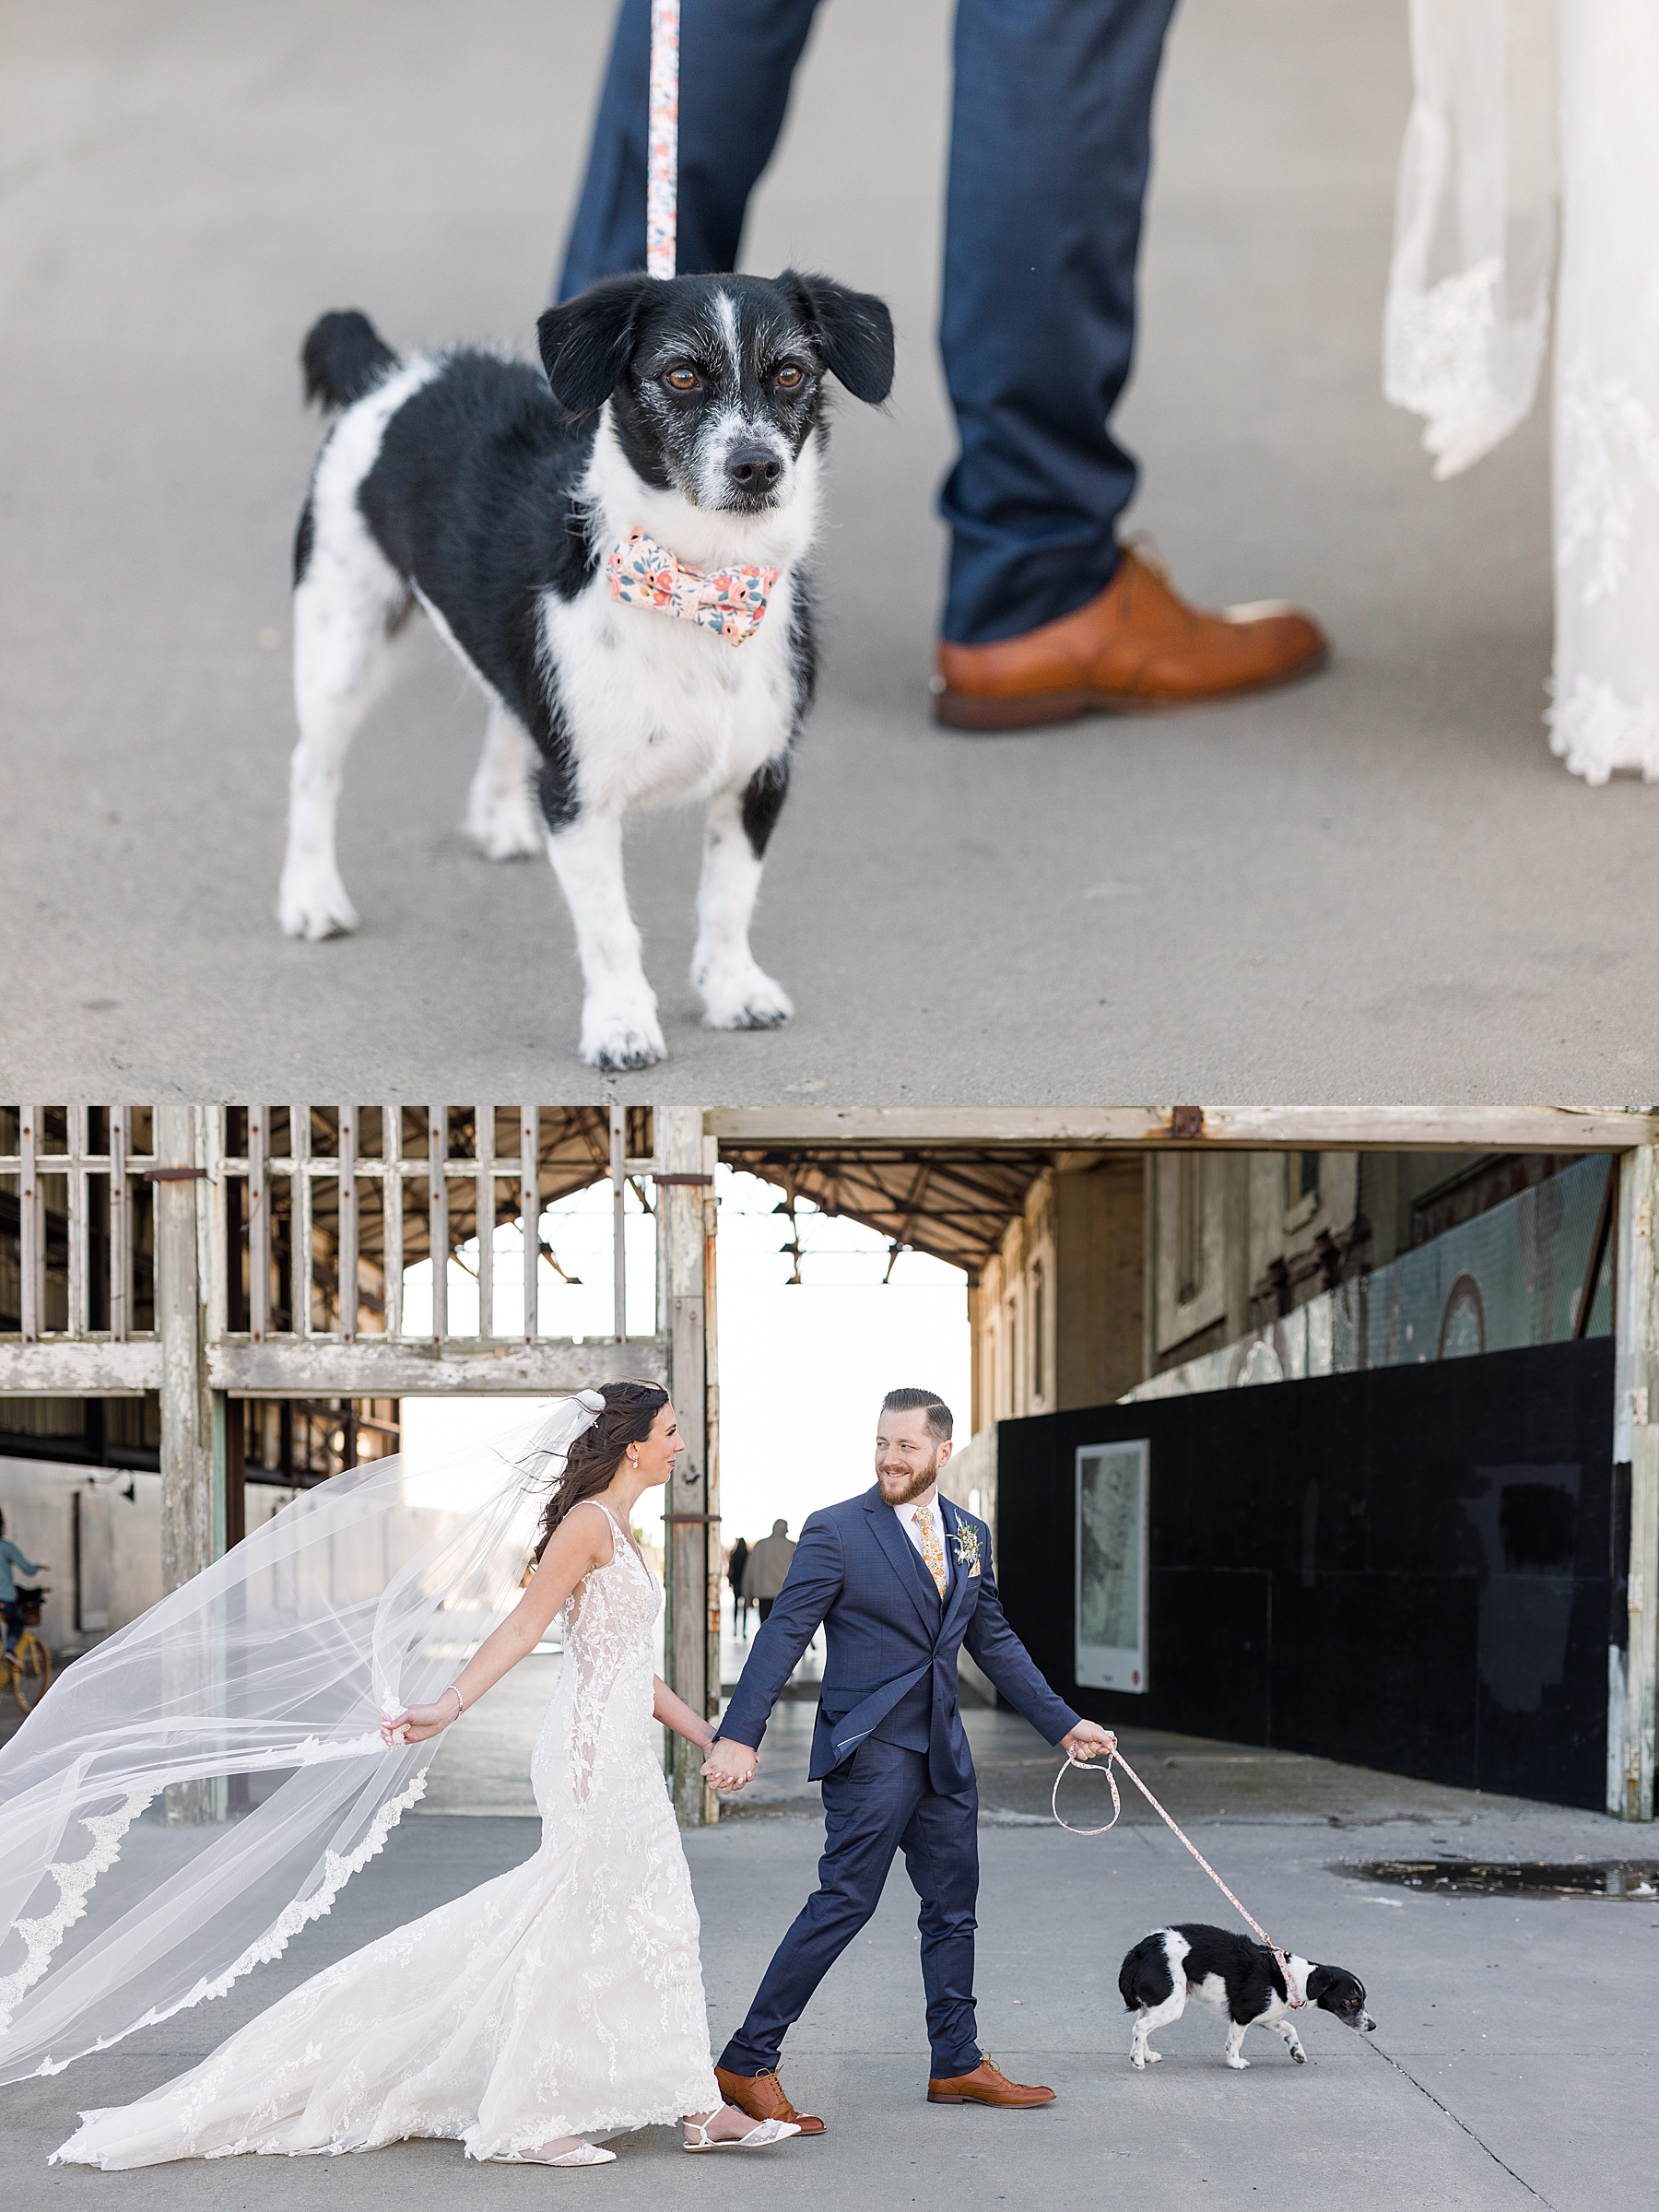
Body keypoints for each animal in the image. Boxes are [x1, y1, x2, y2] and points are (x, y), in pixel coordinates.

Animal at [277, 272, 898, 1065]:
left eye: (790, 373)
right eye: (681, 374)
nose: (757, 466)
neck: (701, 586)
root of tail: (393, 374)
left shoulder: (760, 776)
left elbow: (728, 899)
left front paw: (732, 990)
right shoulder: (579, 796)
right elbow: (609, 927)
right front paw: (621, 1023)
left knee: (507, 709)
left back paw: (499, 818)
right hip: (342, 642)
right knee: (312, 769)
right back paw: (312, 897)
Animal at [1132, 1920, 1380, 2070]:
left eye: (1363, 1999)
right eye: (1353, 2000)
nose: (1373, 2026)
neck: (1290, 1978)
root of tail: (1141, 1948)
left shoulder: (1268, 2016)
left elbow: (1290, 2029)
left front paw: (1296, 2052)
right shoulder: (1243, 2014)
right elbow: (1235, 2042)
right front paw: (1235, 2063)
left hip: (1156, 2003)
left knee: (1141, 2026)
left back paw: (1147, 2055)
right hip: (1172, 2005)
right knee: (1140, 2027)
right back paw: (1137, 2059)